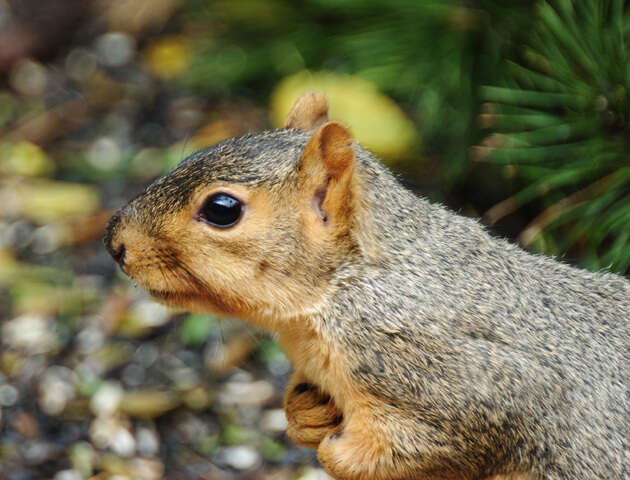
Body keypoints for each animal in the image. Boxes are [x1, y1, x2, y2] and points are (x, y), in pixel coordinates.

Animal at [106, 94, 628, 480]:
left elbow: (444, 444)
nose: (114, 240)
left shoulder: (470, 386)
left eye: (221, 209)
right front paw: (306, 414)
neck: (346, 287)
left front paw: (335, 452)